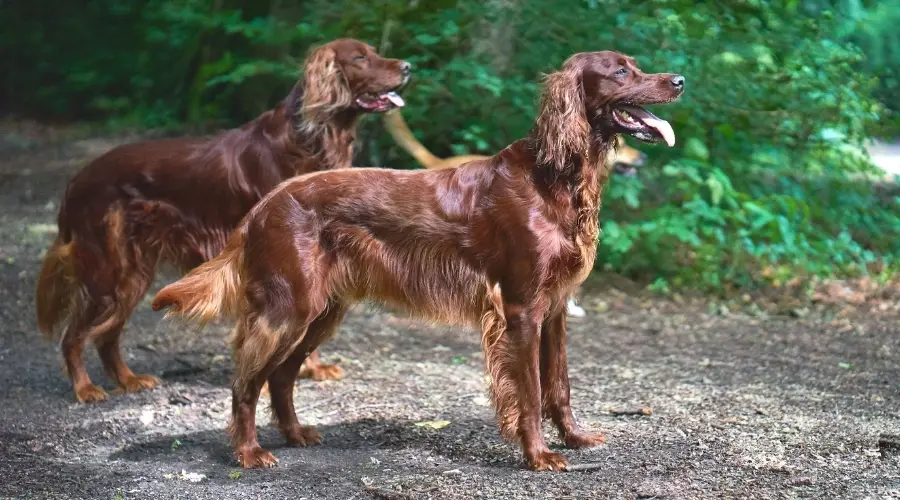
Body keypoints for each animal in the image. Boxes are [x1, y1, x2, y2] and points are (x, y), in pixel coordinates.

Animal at [37, 38, 410, 402]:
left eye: (374, 51)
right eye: (360, 58)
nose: (407, 66)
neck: (309, 139)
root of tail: (75, 181)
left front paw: (312, 368)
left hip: (132, 274)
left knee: (107, 334)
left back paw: (129, 380)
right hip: (108, 270)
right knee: (74, 334)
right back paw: (85, 389)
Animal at [151, 52, 684, 470]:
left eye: (635, 65)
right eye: (621, 70)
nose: (679, 80)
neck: (554, 178)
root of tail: (263, 206)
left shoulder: (554, 309)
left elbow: (560, 385)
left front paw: (574, 438)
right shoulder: (521, 308)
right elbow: (531, 391)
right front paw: (538, 456)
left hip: (321, 311)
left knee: (280, 377)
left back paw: (297, 435)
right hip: (287, 308)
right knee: (245, 382)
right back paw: (248, 453)